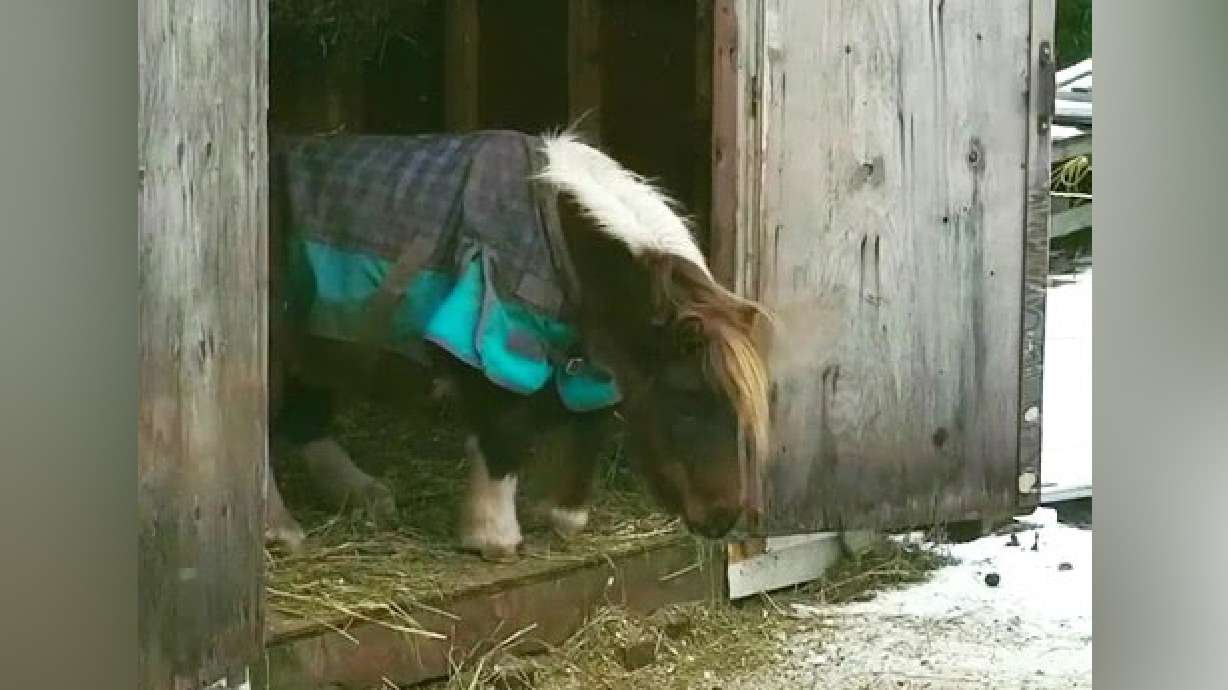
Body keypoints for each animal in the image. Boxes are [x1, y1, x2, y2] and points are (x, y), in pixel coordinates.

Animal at [262, 129, 772, 562]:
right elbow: (506, 430)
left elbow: (585, 422)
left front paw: (562, 515)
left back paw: (365, 497)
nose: (723, 519)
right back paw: (281, 529)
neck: (563, 232)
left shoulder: (577, 351)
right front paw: (493, 536)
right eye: (688, 400)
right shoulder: (489, 342)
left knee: (305, 415)